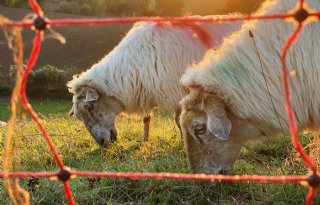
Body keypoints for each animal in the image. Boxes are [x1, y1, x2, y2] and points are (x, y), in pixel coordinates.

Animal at [68, 17, 242, 146]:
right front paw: (144, 140)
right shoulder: (145, 89)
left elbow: (178, 120)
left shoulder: (177, 90)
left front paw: (183, 141)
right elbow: (146, 118)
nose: (102, 143)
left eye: (90, 107)